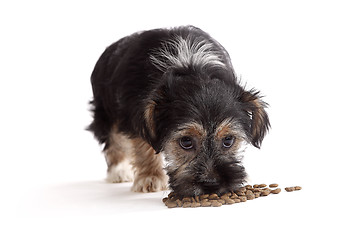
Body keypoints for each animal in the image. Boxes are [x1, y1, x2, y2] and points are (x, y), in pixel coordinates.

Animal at [88, 25, 268, 197]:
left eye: (228, 140)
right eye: (186, 142)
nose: (211, 184)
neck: (191, 66)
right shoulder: (137, 114)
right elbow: (144, 146)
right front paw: (150, 176)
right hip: (106, 111)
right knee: (113, 140)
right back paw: (118, 171)